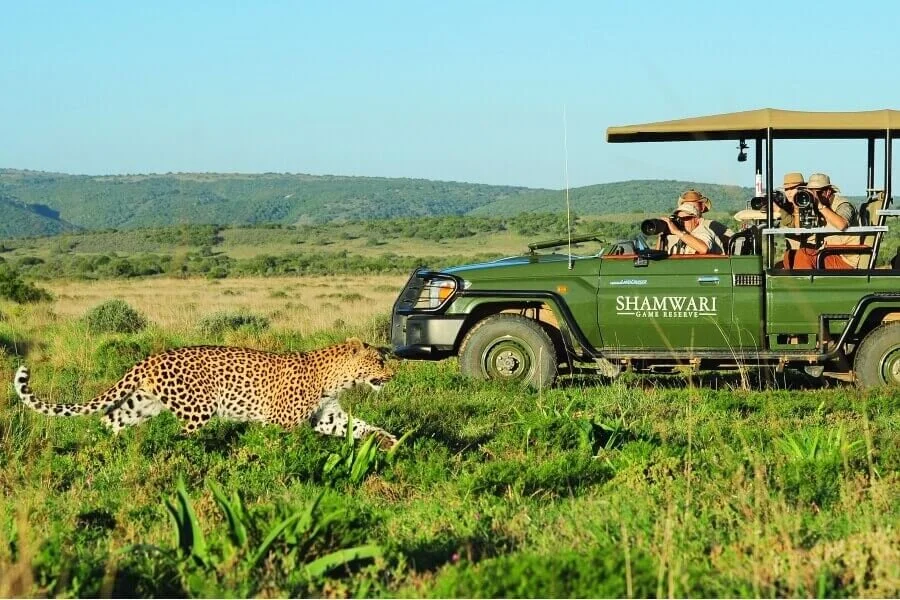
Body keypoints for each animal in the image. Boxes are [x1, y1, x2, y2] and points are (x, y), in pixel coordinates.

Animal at [13, 337, 399, 448]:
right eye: (379, 361)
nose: (393, 373)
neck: (335, 378)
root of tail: (152, 356)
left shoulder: (327, 415)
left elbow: (358, 426)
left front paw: (389, 441)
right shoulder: (281, 421)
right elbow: (281, 447)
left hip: (141, 404)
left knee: (110, 421)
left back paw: (104, 453)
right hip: (199, 409)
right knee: (180, 437)